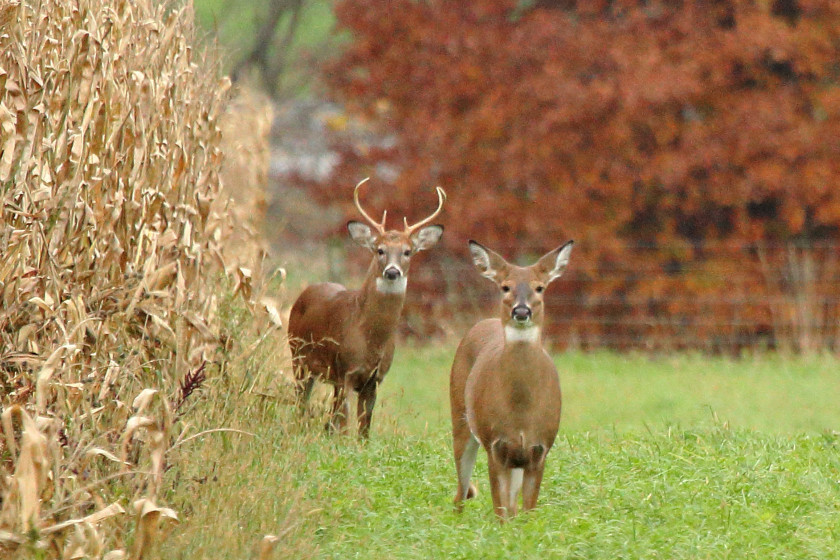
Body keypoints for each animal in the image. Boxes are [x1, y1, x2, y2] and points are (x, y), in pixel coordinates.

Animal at [288, 178, 445, 438]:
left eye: (407, 251)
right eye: (380, 250)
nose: (392, 271)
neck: (371, 340)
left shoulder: (374, 380)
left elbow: (364, 430)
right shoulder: (345, 370)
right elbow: (344, 424)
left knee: (326, 416)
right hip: (298, 357)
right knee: (301, 404)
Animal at [449, 238, 573, 521]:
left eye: (540, 287)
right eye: (505, 287)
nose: (521, 310)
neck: (521, 411)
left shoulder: (540, 448)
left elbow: (526, 511)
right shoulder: (495, 446)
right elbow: (501, 512)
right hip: (460, 417)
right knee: (460, 492)